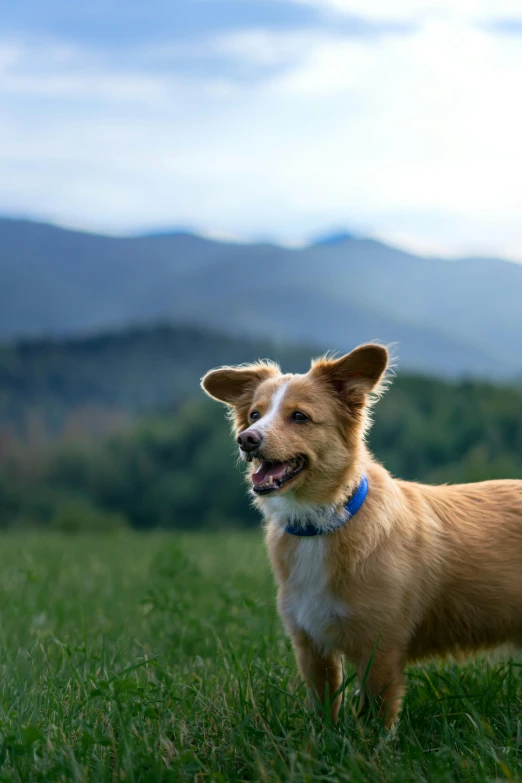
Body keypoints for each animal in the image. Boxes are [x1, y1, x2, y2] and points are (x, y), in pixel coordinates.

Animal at [201, 346, 520, 724]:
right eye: (254, 415)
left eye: (299, 416)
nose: (246, 439)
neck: (321, 522)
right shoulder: (311, 646)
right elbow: (324, 707)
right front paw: (323, 736)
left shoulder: (379, 649)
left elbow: (376, 717)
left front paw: (370, 741)